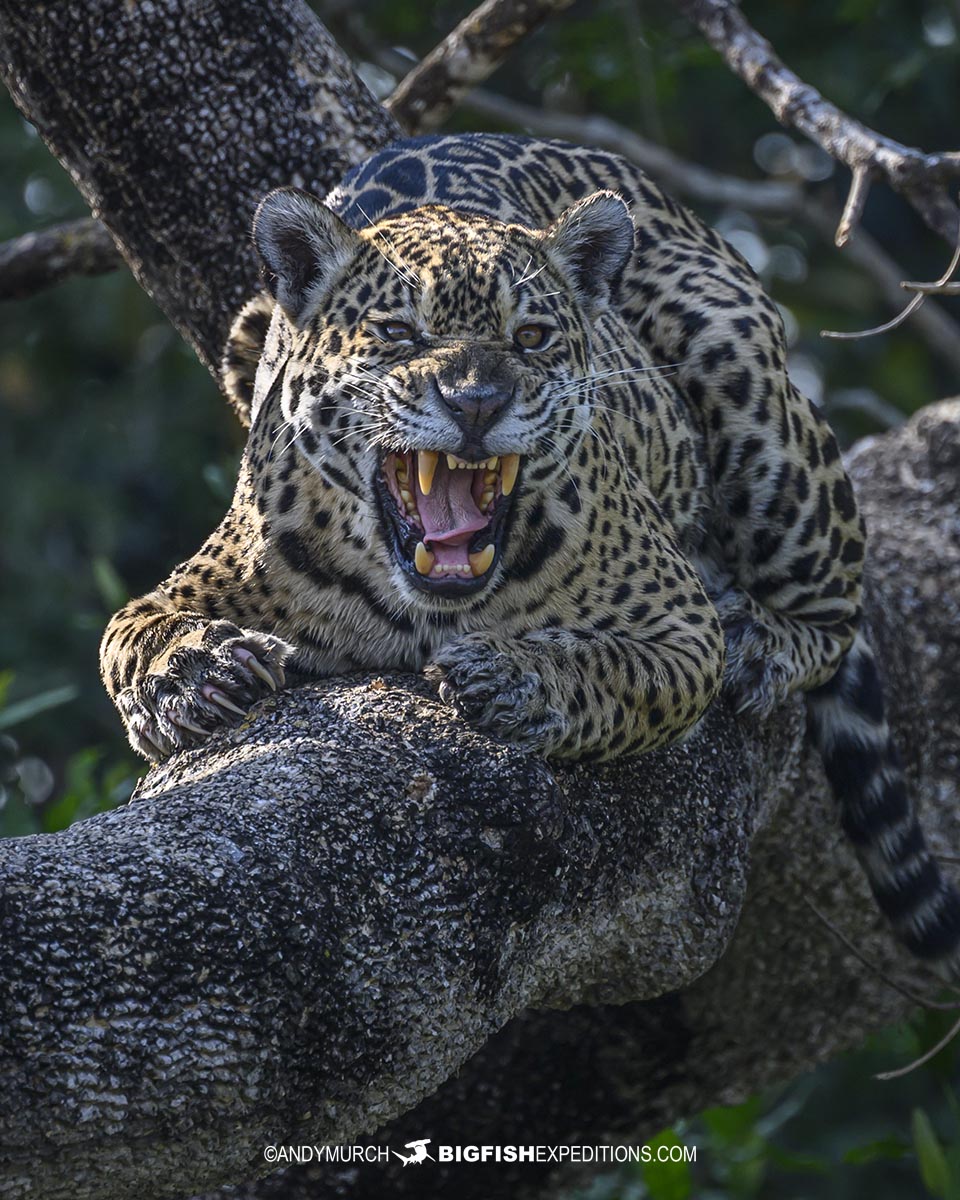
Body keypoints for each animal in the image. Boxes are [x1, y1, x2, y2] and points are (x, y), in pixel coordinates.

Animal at [101, 133, 960, 969]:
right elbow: (128, 637)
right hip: (246, 327)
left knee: (837, 609)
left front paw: (518, 677)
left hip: (739, 362)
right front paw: (192, 674)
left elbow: (622, 674)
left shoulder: (681, 629)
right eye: (398, 334)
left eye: (532, 338)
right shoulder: (189, 584)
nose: (477, 402)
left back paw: (763, 639)